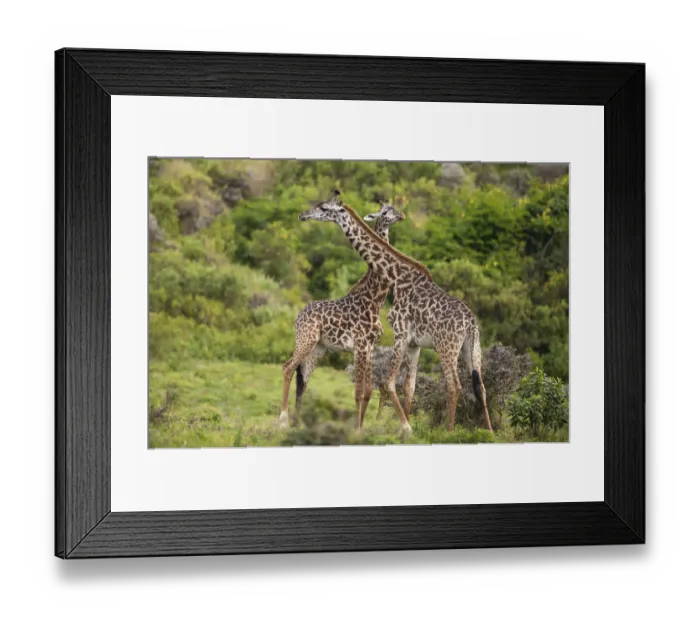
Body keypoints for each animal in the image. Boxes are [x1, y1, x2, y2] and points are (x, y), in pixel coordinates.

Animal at [279, 200, 405, 431]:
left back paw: (298, 424)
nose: (401, 216)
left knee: (303, 380)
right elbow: (358, 392)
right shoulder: (359, 346)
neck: (374, 300)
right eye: (384, 212)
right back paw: (283, 420)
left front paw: (361, 428)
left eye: (394, 209)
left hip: (317, 349)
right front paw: (356, 429)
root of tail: (298, 316)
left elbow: (368, 391)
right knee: (287, 368)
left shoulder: (369, 347)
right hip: (305, 340)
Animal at [298, 190, 493, 435]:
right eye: (386, 211)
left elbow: (388, 383)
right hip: (473, 347)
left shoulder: (401, 334)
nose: (303, 215)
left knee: (454, 385)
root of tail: (470, 323)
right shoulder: (414, 343)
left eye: (324, 208)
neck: (395, 278)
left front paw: (405, 428)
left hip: (446, 346)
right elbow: (409, 386)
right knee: (481, 386)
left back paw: (448, 431)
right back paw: (489, 431)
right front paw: (407, 427)